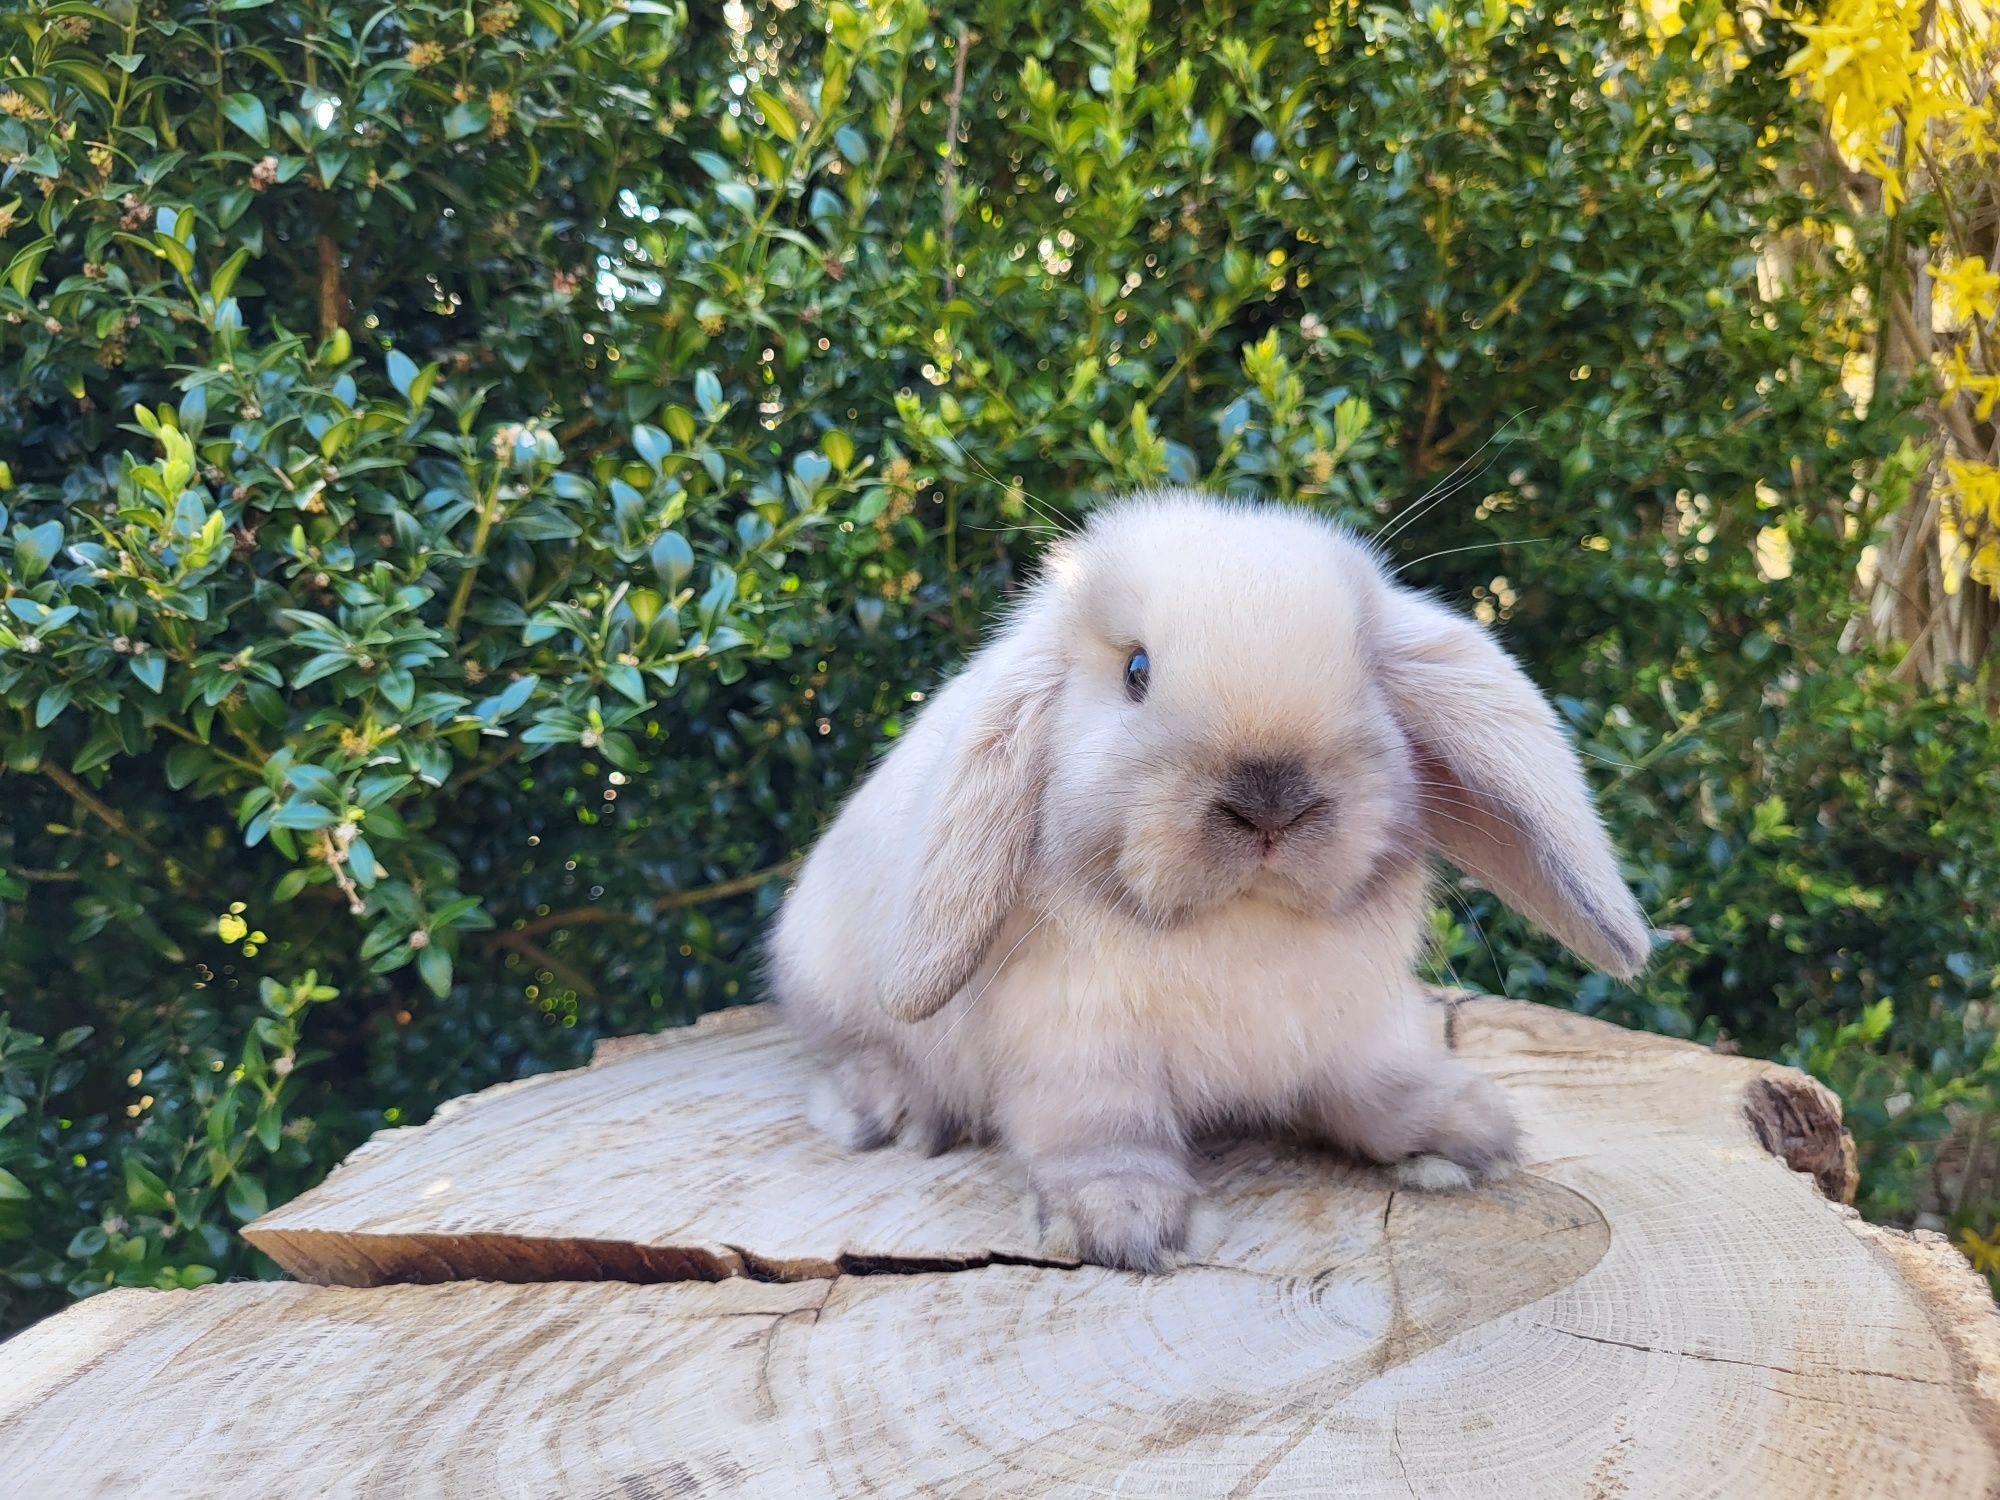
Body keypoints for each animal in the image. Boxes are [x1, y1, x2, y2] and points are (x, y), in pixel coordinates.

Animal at [772, 490, 1648, 1272]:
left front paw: (1465, 1130)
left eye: (1367, 673)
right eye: (1136, 670)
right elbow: (1100, 1132)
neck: (1239, 922)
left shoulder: (1352, 1029)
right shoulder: (1077, 1047)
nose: (1271, 801)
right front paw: (1124, 1223)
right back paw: (892, 1111)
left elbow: (1378, 1083)